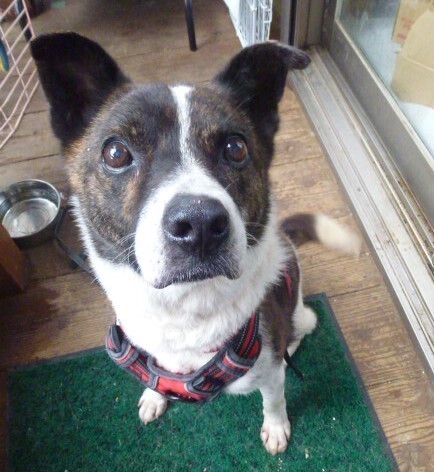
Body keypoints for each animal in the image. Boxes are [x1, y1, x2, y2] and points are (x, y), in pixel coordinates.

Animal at [31, 33, 360, 455]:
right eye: (116, 153)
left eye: (236, 148)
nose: (201, 224)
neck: (184, 310)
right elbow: (153, 374)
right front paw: (155, 394)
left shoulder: (269, 370)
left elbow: (274, 399)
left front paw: (276, 428)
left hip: (300, 314)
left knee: (302, 328)